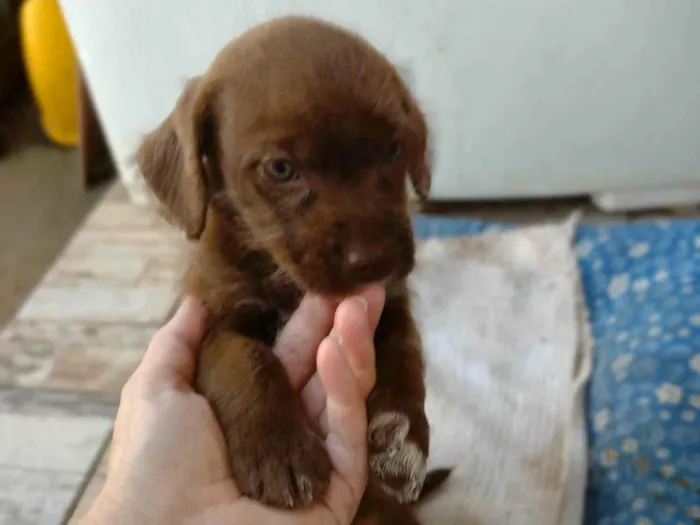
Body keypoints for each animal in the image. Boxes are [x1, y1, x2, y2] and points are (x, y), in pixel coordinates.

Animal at [135, 15, 432, 512]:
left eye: (394, 148)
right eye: (280, 169)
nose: (375, 260)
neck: (282, 280)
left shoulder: (391, 302)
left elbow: (405, 351)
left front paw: (401, 438)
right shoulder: (214, 319)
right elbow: (245, 359)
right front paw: (279, 451)